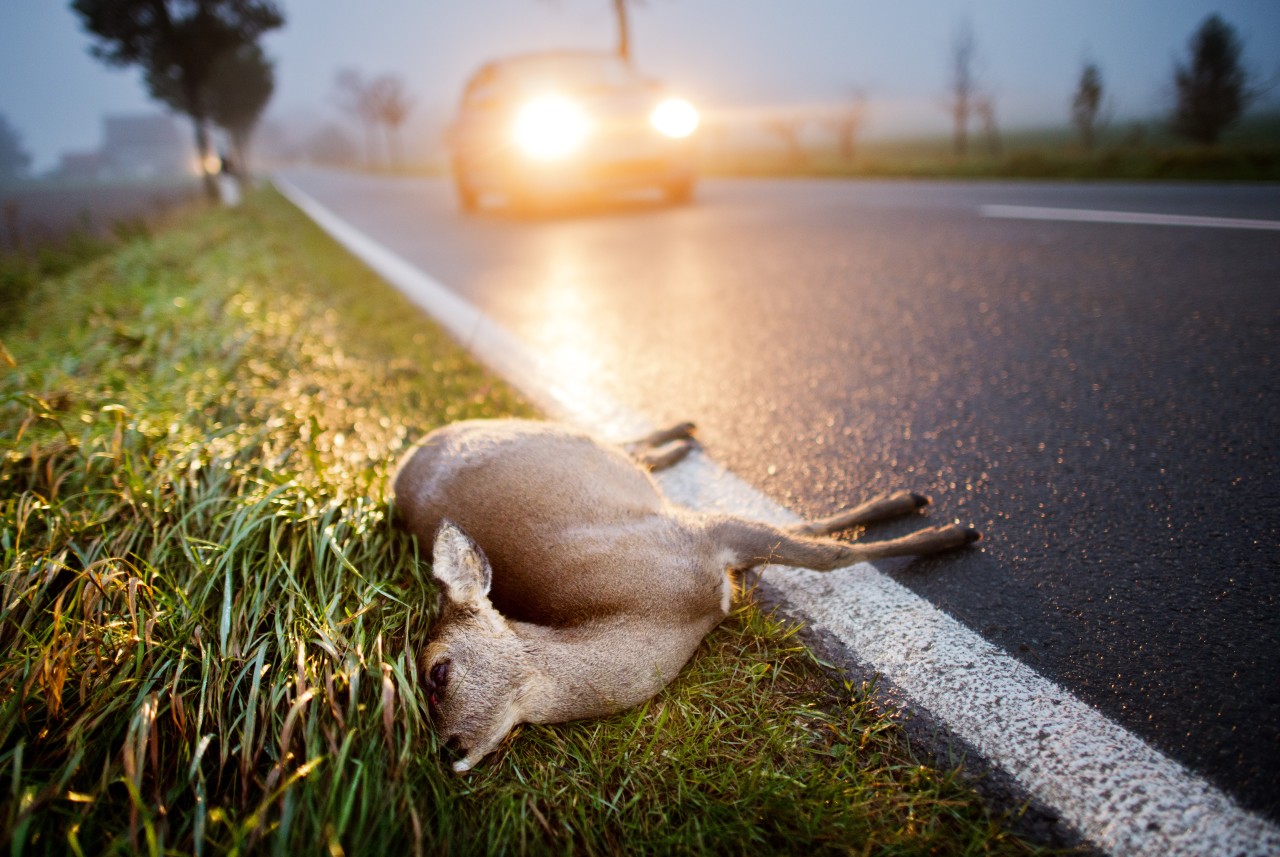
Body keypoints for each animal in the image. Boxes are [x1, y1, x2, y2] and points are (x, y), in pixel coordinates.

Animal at [391, 419, 977, 777]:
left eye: (437, 671)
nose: (446, 751)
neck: (665, 614)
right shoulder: (707, 542)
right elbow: (812, 538)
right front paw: (928, 518)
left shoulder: (698, 534)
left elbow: (827, 553)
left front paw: (945, 530)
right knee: (626, 446)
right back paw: (681, 440)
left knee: (619, 441)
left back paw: (683, 436)